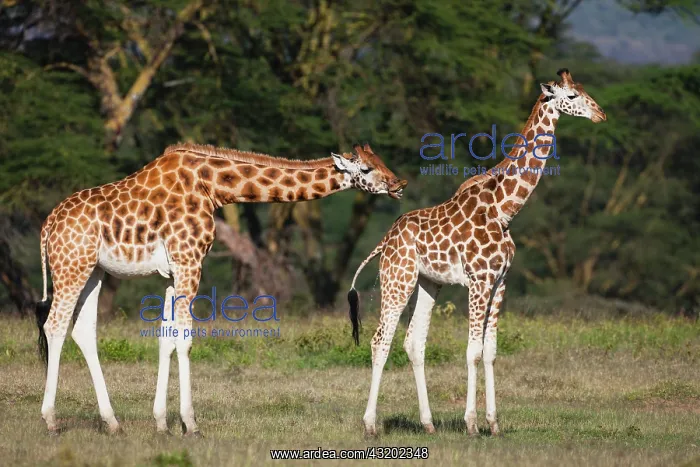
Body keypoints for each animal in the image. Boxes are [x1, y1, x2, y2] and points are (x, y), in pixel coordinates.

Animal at [35, 142, 407, 436]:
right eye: (366, 167)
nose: (399, 184)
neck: (213, 187)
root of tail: (48, 225)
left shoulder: (173, 271)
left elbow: (166, 337)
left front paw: (162, 423)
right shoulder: (190, 261)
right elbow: (184, 337)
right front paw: (190, 424)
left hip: (93, 271)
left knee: (82, 330)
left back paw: (112, 423)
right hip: (71, 265)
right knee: (54, 325)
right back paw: (50, 420)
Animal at [347, 69, 606, 437]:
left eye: (583, 90)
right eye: (571, 96)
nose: (601, 114)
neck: (504, 209)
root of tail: (385, 239)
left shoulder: (499, 283)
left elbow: (491, 351)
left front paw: (493, 423)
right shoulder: (479, 281)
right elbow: (472, 351)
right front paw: (471, 423)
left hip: (428, 282)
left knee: (414, 342)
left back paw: (428, 423)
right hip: (397, 278)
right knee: (380, 341)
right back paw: (370, 424)